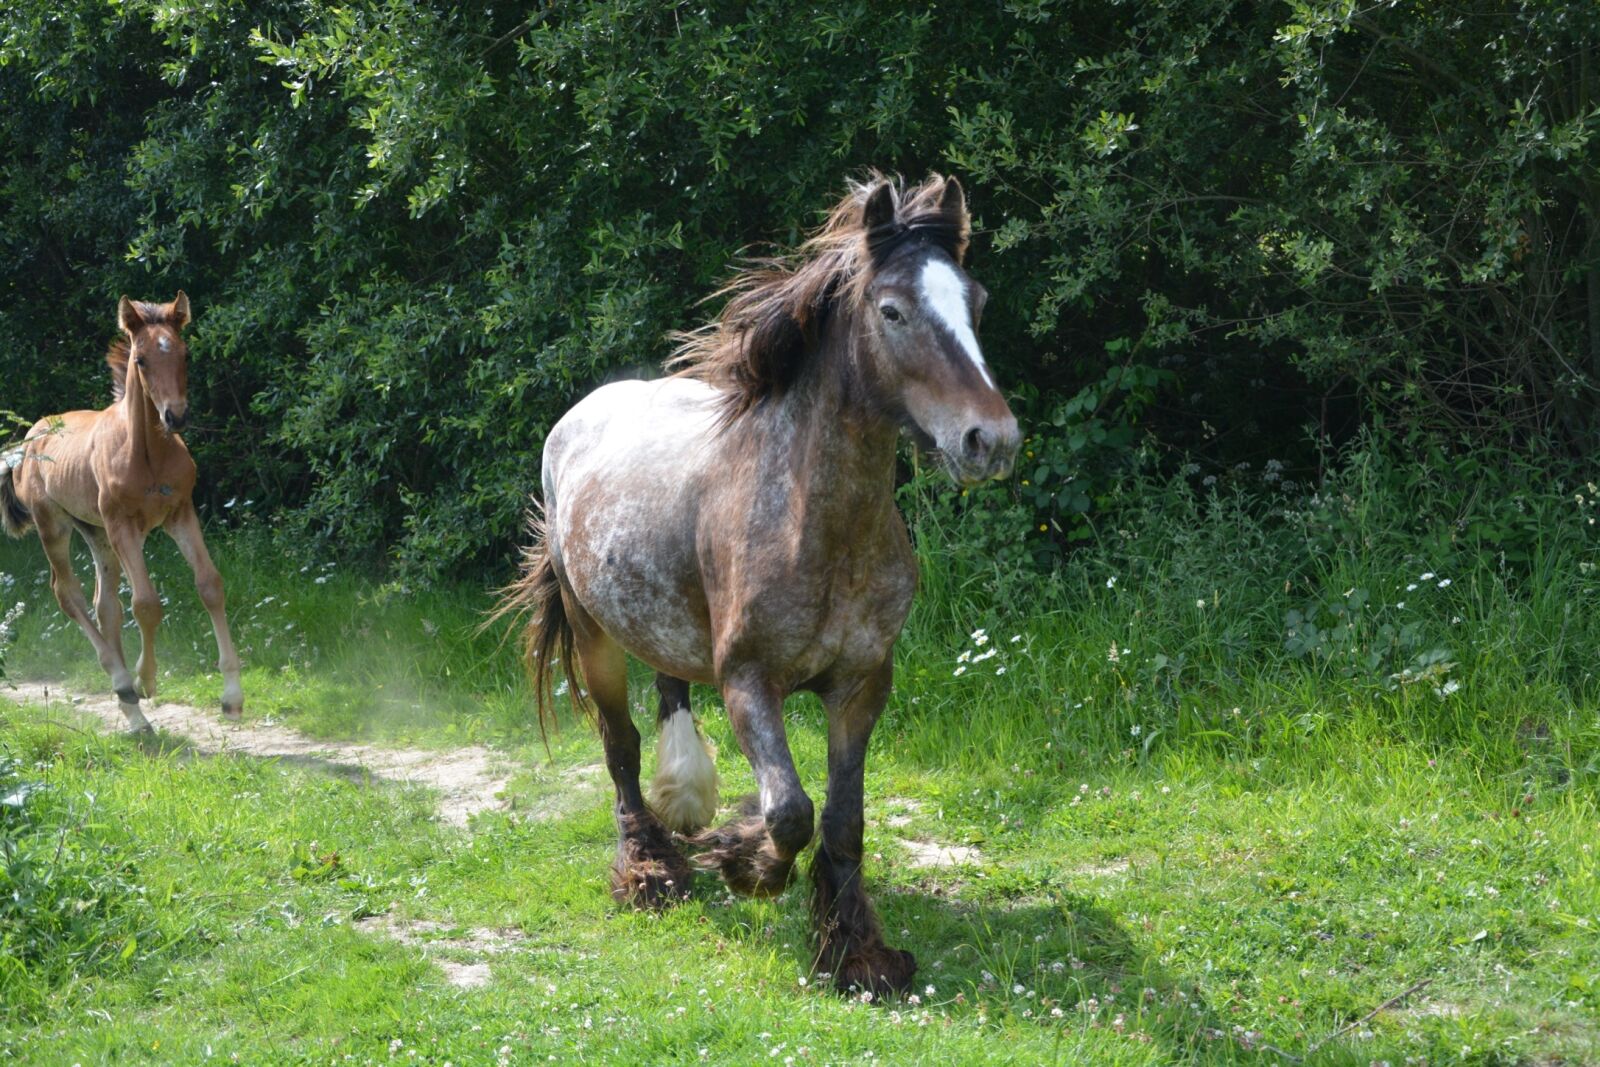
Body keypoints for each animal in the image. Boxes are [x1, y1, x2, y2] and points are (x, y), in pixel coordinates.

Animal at [0, 293, 243, 732]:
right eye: (141, 359)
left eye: (184, 353)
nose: (176, 416)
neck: (147, 453)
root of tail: (27, 441)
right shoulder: (122, 525)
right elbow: (145, 602)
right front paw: (147, 679)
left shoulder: (180, 514)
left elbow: (210, 585)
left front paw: (232, 697)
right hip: (54, 526)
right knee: (69, 594)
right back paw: (124, 683)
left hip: (95, 534)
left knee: (104, 604)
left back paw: (132, 711)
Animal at [501, 174, 1017, 996]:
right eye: (892, 310)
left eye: (977, 299)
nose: (989, 441)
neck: (818, 525)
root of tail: (577, 418)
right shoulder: (748, 681)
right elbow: (789, 811)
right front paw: (745, 864)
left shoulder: (863, 683)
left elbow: (842, 820)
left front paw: (857, 951)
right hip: (592, 635)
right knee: (620, 746)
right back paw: (650, 869)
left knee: (669, 695)